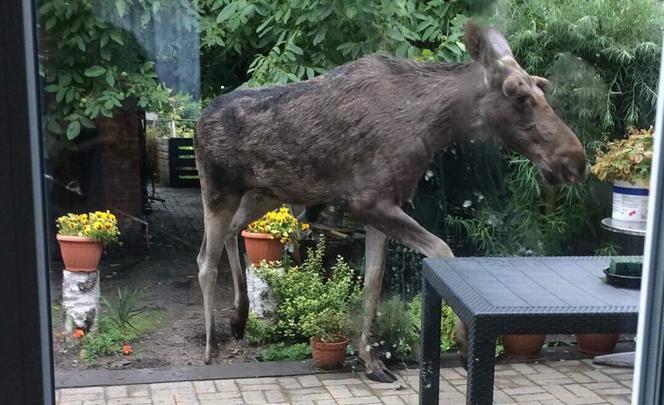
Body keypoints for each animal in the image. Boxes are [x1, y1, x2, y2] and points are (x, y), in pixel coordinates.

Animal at [193, 21, 588, 382]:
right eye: (519, 96)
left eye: (542, 88)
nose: (575, 161)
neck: (433, 125)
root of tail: (197, 122)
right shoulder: (368, 202)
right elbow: (442, 250)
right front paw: (462, 342)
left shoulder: (383, 205)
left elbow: (373, 280)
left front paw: (372, 361)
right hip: (217, 191)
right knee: (205, 261)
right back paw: (211, 348)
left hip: (261, 195)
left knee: (228, 236)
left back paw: (239, 317)